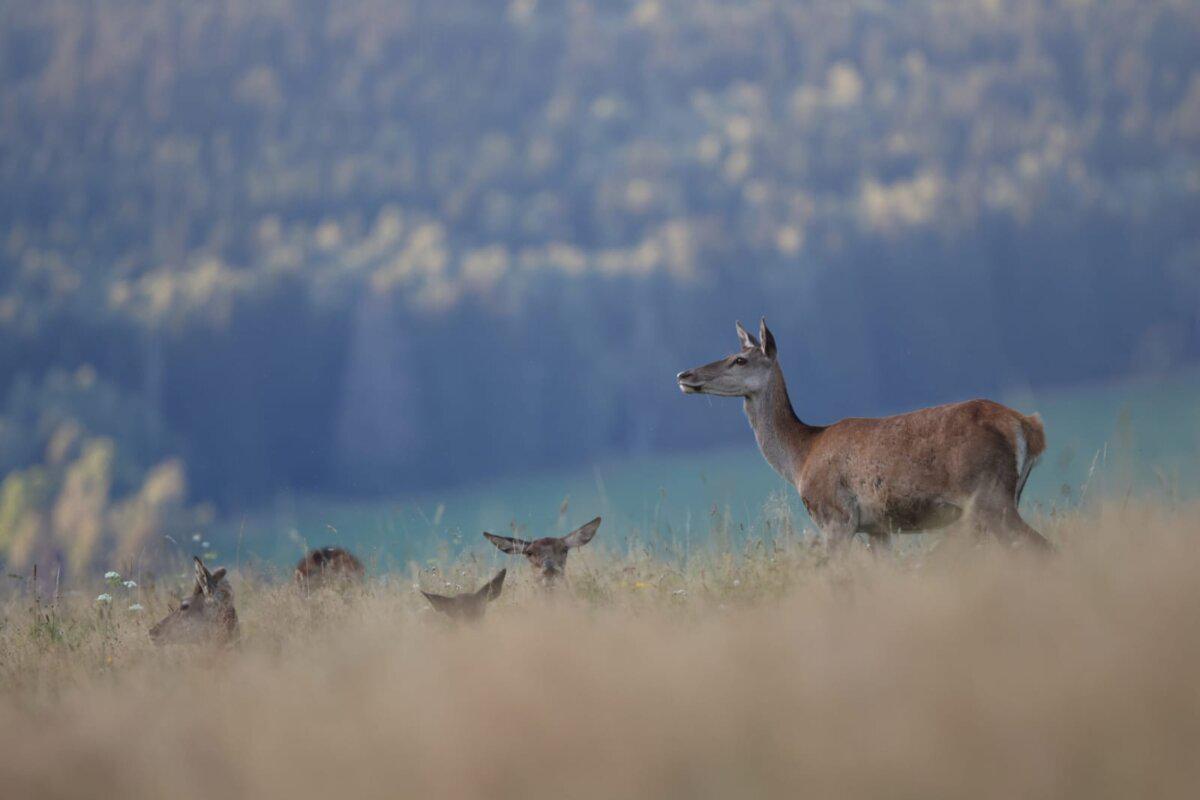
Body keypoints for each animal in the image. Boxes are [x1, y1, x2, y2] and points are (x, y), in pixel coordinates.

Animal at [676, 319, 1051, 551]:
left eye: (739, 360)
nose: (684, 374)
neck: (801, 457)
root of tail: (1025, 425)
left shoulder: (835, 517)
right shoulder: (878, 529)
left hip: (989, 494)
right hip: (1001, 499)